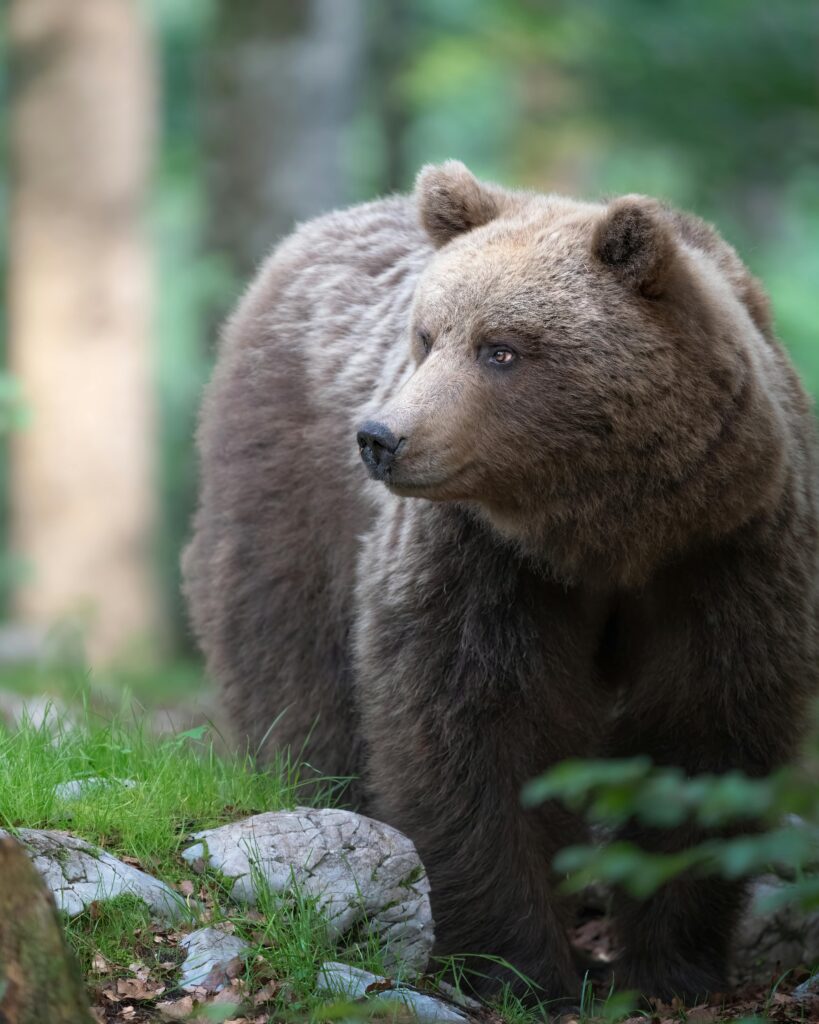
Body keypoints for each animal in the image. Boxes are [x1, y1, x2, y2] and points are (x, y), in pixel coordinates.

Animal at [182, 161, 819, 1004]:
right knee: (292, 666)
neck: (605, 534)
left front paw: (670, 964)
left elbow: (705, 733)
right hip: (287, 496)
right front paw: (517, 966)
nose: (381, 437)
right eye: (426, 336)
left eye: (502, 349)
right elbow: (471, 730)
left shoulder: (723, 555)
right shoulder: (483, 564)